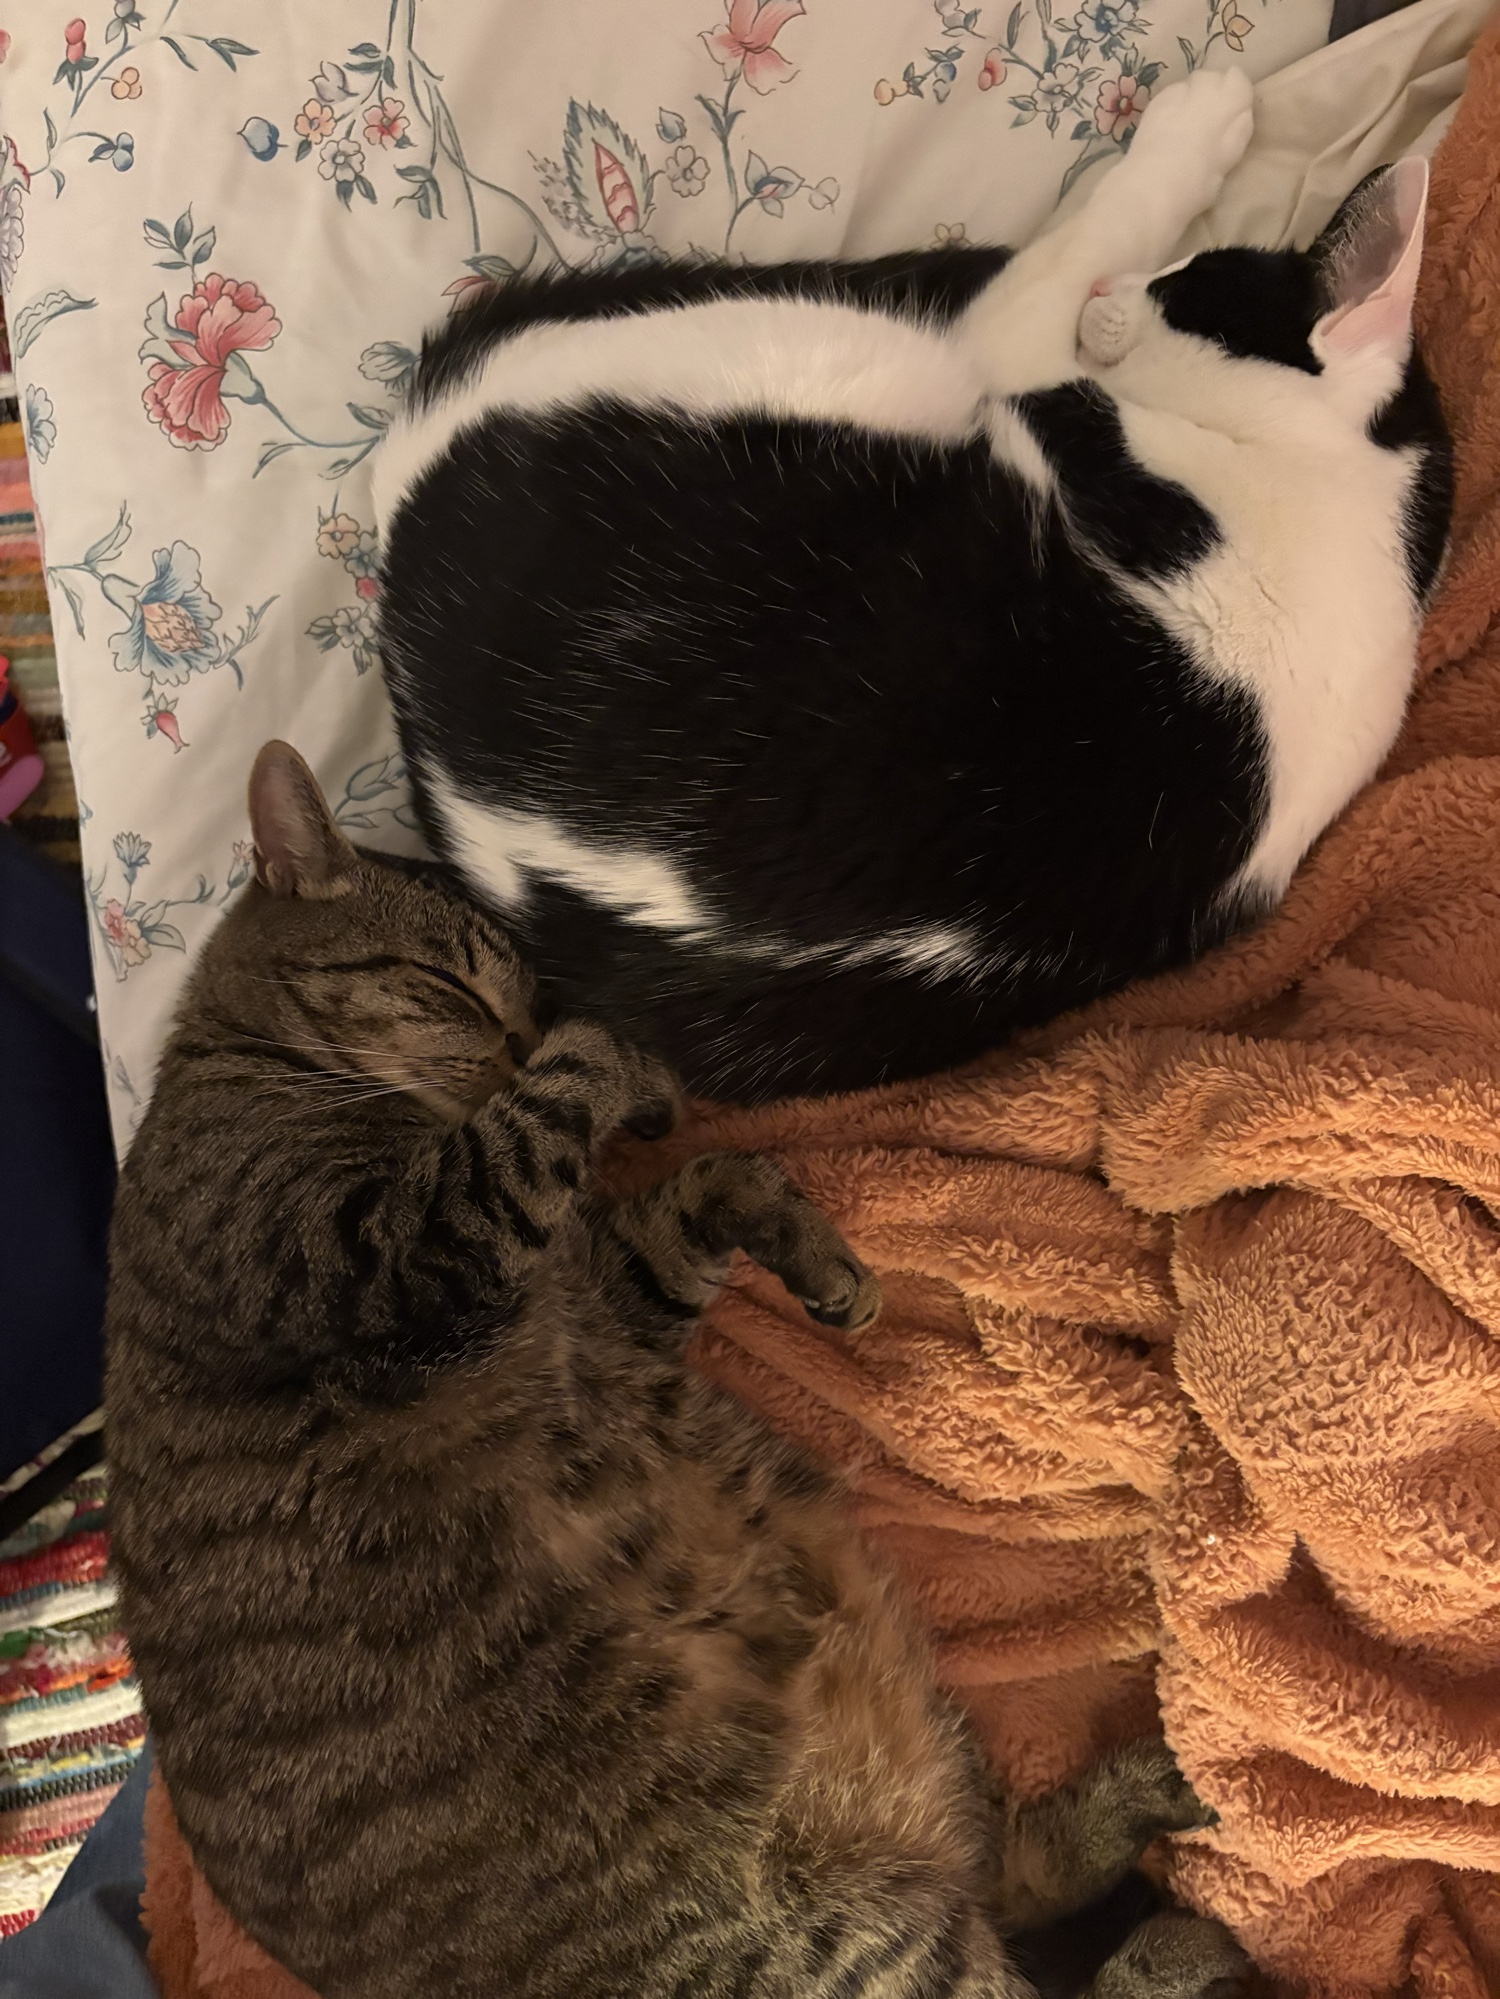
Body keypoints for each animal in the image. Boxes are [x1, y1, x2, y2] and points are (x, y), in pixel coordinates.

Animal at [106, 740, 1250, 1999]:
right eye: (456, 992)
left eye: (522, 1001)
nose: (520, 1038)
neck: (242, 1062)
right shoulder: (393, 1256)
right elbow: (563, 1102)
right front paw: (624, 1057)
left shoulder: (604, 1292)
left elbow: (708, 1181)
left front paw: (815, 1254)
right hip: (841, 1949)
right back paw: (1176, 1933)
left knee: (1013, 1872)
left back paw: (1153, 1820)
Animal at [372, 66, 1453, 1103]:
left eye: (1183, 282)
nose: (1123, 291)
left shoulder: (1022, 371)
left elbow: (1076, 241)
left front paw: (1193, 127)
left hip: (863, 353)